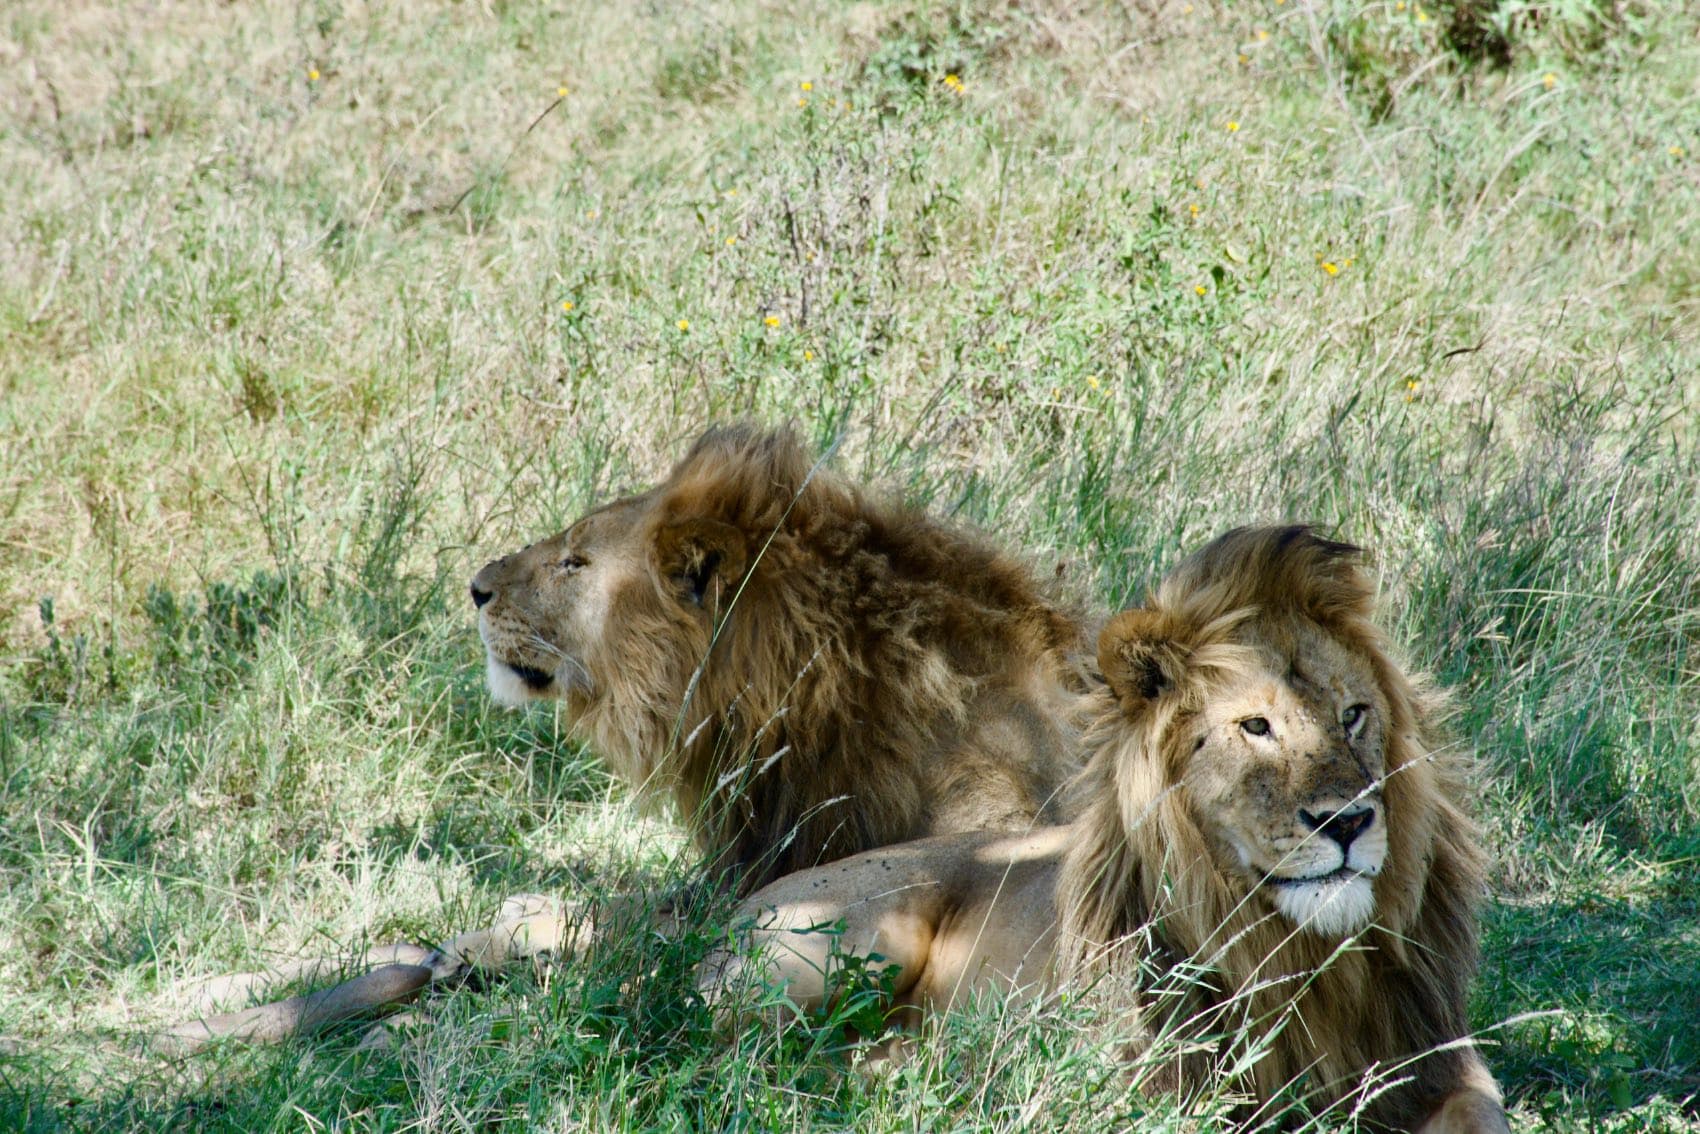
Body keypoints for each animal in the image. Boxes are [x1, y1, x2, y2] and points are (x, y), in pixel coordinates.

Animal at [702, 526, 1509, 1133]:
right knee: (745, 1051)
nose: (1349, 820)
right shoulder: (1153, 1093)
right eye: (1256, 727)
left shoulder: (1438, 1062)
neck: (1299, 958)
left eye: (1354, 715)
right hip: (841, 948)